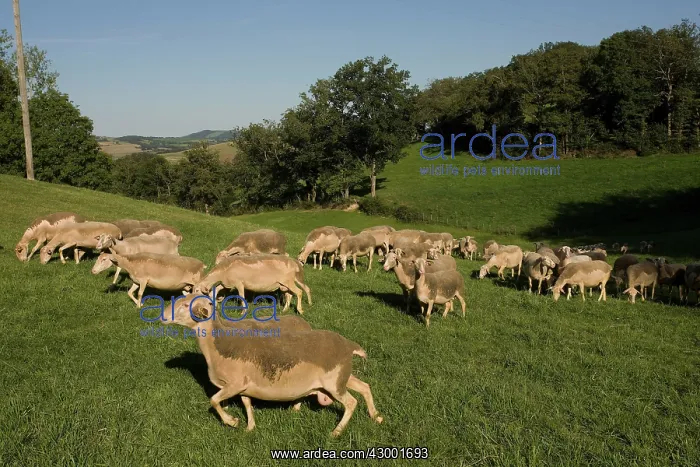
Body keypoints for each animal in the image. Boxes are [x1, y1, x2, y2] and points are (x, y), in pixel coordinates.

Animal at [165, 296, 383, 437]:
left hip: (334, 383)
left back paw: (336, 432)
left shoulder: (234, 385)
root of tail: (349, 345)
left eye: (186, 304)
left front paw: (231, 421)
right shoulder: (244, 386)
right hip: (342, 377)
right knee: (365, 387)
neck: (220, 344)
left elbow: (214, 401)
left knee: (351, 403)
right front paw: (249, 427)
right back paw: (376, 416)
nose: (163, 316)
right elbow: (246, 404)